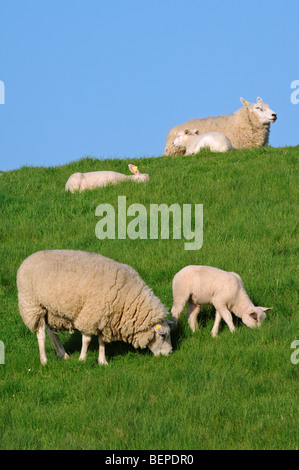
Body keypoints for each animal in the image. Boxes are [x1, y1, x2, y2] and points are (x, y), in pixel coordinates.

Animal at [17, 248, 173, 366]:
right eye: (163, 335)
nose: (170, 353)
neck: (127, 295)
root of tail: (27, 259)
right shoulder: (91, 314)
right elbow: (87, 340)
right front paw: (82, 359)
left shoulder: (104, 317)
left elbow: (101, 341)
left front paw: (102, 361)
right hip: (33, 305)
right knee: (41, 334)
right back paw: (44, 360)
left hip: (49, 310)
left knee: (51, 331)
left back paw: (63, 354)